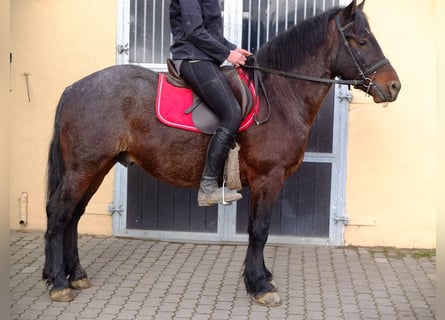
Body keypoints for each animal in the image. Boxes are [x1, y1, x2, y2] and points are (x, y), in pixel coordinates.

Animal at [44, 1, 398, 308]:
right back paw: (59, 283)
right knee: (59, 214)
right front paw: (260, 286)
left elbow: (257, 230)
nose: (394, 86)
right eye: (362, 41)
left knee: (73, 215)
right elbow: (260, 230)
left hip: (97, 167)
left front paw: (260, 277)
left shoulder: (264, 181)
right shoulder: (268, 178)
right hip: (83, 168)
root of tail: (74, 88)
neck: (279, 96)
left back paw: (75, 275)